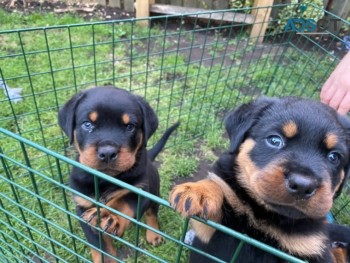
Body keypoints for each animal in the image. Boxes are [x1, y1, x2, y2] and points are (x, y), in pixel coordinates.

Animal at [58, 86, 179, 263]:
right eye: (87, 124)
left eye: (130, 126)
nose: (107, 153)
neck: (104, 180)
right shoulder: (82, 207)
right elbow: (99, 245)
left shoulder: (140, 190)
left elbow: (122, 202)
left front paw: (108, 215)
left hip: (154, 191)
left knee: (152, 213)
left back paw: (154, 234)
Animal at [170, 97, 350, 263]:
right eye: (274, 140)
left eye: (334, 157)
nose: (302, 185)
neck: (266, 215)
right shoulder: (208, 234)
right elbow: (217, 186)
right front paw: (198, 192)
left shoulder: (311, 247)